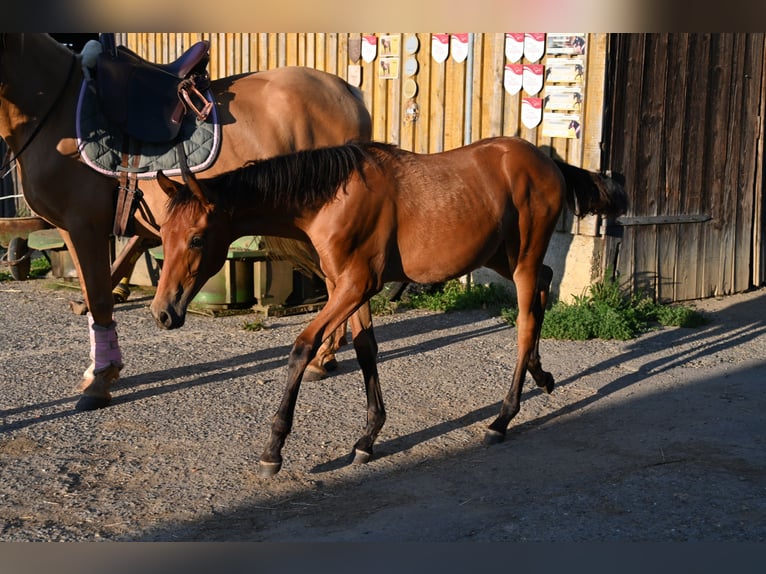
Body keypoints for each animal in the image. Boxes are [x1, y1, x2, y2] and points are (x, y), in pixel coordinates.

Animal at [0, 33, 373, 410]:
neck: (53, 111)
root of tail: (349, 92)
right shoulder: (77, 230)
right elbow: (94, 298)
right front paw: (100, 371)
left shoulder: (83, 227)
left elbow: (100, 300)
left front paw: (100, 381)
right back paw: (324, 357)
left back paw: (322, 357)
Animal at [150, 137, 628, 476]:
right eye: (163, 233)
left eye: (197, 238)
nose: (163, 312)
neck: (332, 198)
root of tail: (549, 162)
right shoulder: (348, 288)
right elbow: (366, 351)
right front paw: (367, 438)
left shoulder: (353, 287)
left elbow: (302, 348)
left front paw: (274, 449)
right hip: (502, 256)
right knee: (544, 287)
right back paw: (541, 376)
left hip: (522, 260)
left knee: (527, 321)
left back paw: (502, 418)